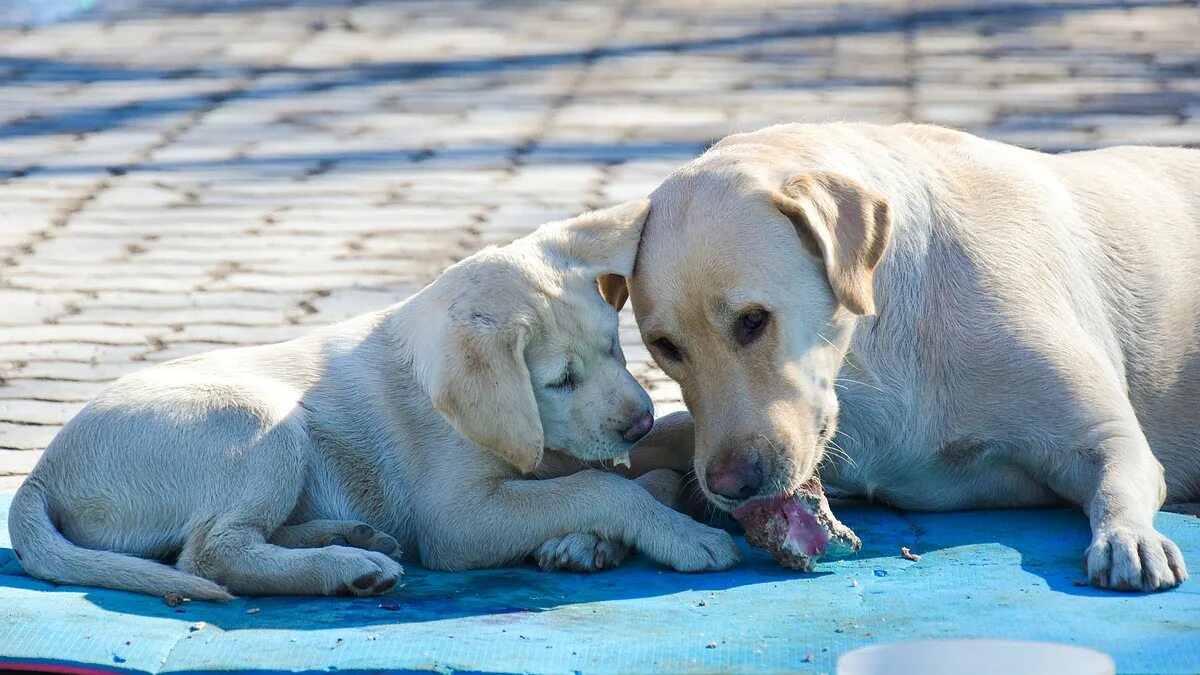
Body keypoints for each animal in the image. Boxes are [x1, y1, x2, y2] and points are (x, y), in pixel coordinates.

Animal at [9, 200, 734, 598]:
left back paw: (348, 535)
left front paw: (592, 539)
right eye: (559, 380)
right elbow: (601, 486)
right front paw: (684, 535)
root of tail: (42, 474)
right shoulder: (458, 519)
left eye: (616, 346)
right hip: (259, 419)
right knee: (212, 551)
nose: (637, 423)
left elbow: (644, 467)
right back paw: (349, 565)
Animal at [619, 123, 1200, 590]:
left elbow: (1115, 481)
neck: (874, 350)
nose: (730, 486)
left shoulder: (1106, 438)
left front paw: (1129, 537)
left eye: (753, 320)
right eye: (664, 347)